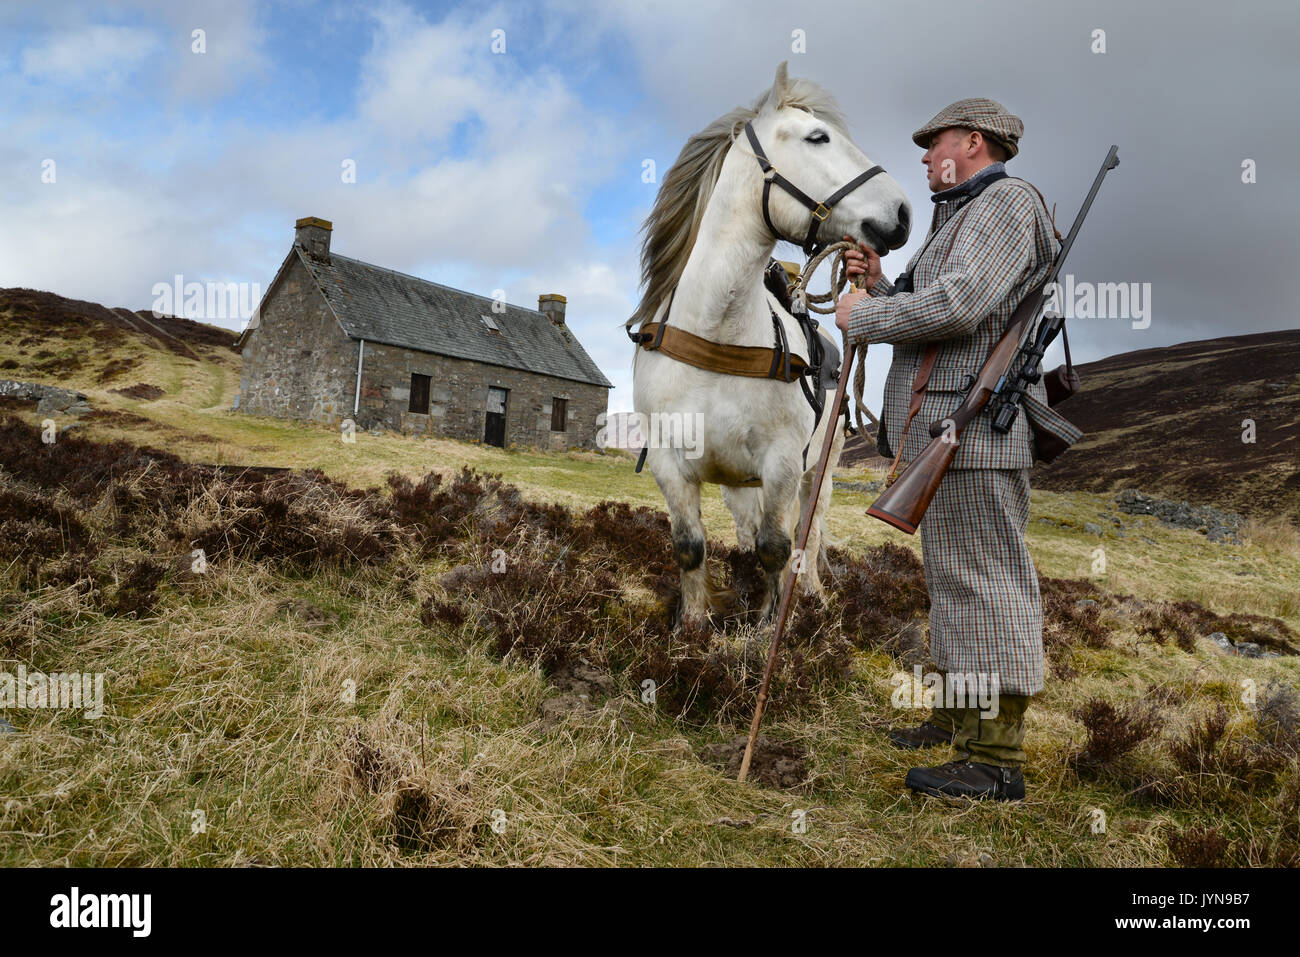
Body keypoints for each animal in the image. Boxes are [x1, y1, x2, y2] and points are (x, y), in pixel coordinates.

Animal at [626, 61, 909, 629]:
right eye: (818, 137)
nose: (903, 213)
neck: (716, 333)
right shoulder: (670, 465)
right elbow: (691, 547)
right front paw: (692, 628)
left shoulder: (781, 462)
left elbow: (777, 548)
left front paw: (770, 630)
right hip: (739, 482)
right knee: (748, 528)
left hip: (818, 473)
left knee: (808, 533)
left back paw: (814, 594)